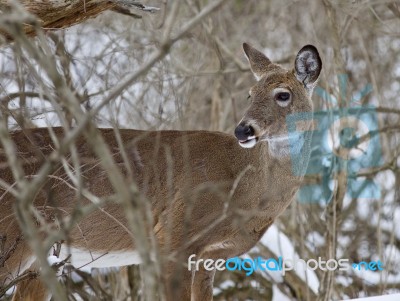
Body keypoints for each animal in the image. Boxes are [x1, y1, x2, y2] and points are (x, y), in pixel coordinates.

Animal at [0, 42, 320, 300]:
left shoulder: (211, 257)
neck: (244, 189)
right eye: (250, 94)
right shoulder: (174, 236)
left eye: (283, 94)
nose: (243, 130)